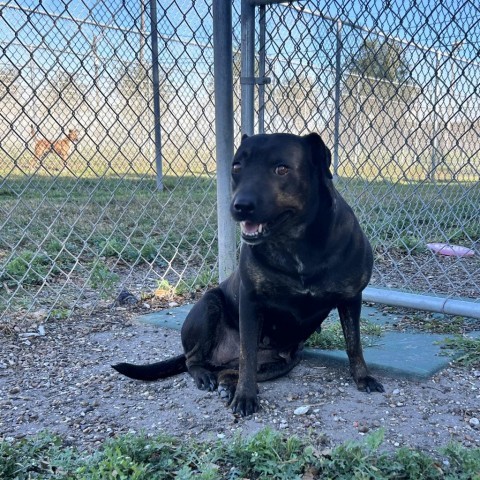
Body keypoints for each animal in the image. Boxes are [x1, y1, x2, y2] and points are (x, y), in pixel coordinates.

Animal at [111, 132, 382, 416]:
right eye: (237, 166)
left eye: (282, 169)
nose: (240, 205)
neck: (297, 244)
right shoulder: (251, 301)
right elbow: (247, 356)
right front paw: (245, 396)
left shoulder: (351, 298)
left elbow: (354, 343)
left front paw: (363, 377)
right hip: (208, 306)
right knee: (193, 360)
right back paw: (205, 376)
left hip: (285, 362)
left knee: (229, 370)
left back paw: (226, 384)